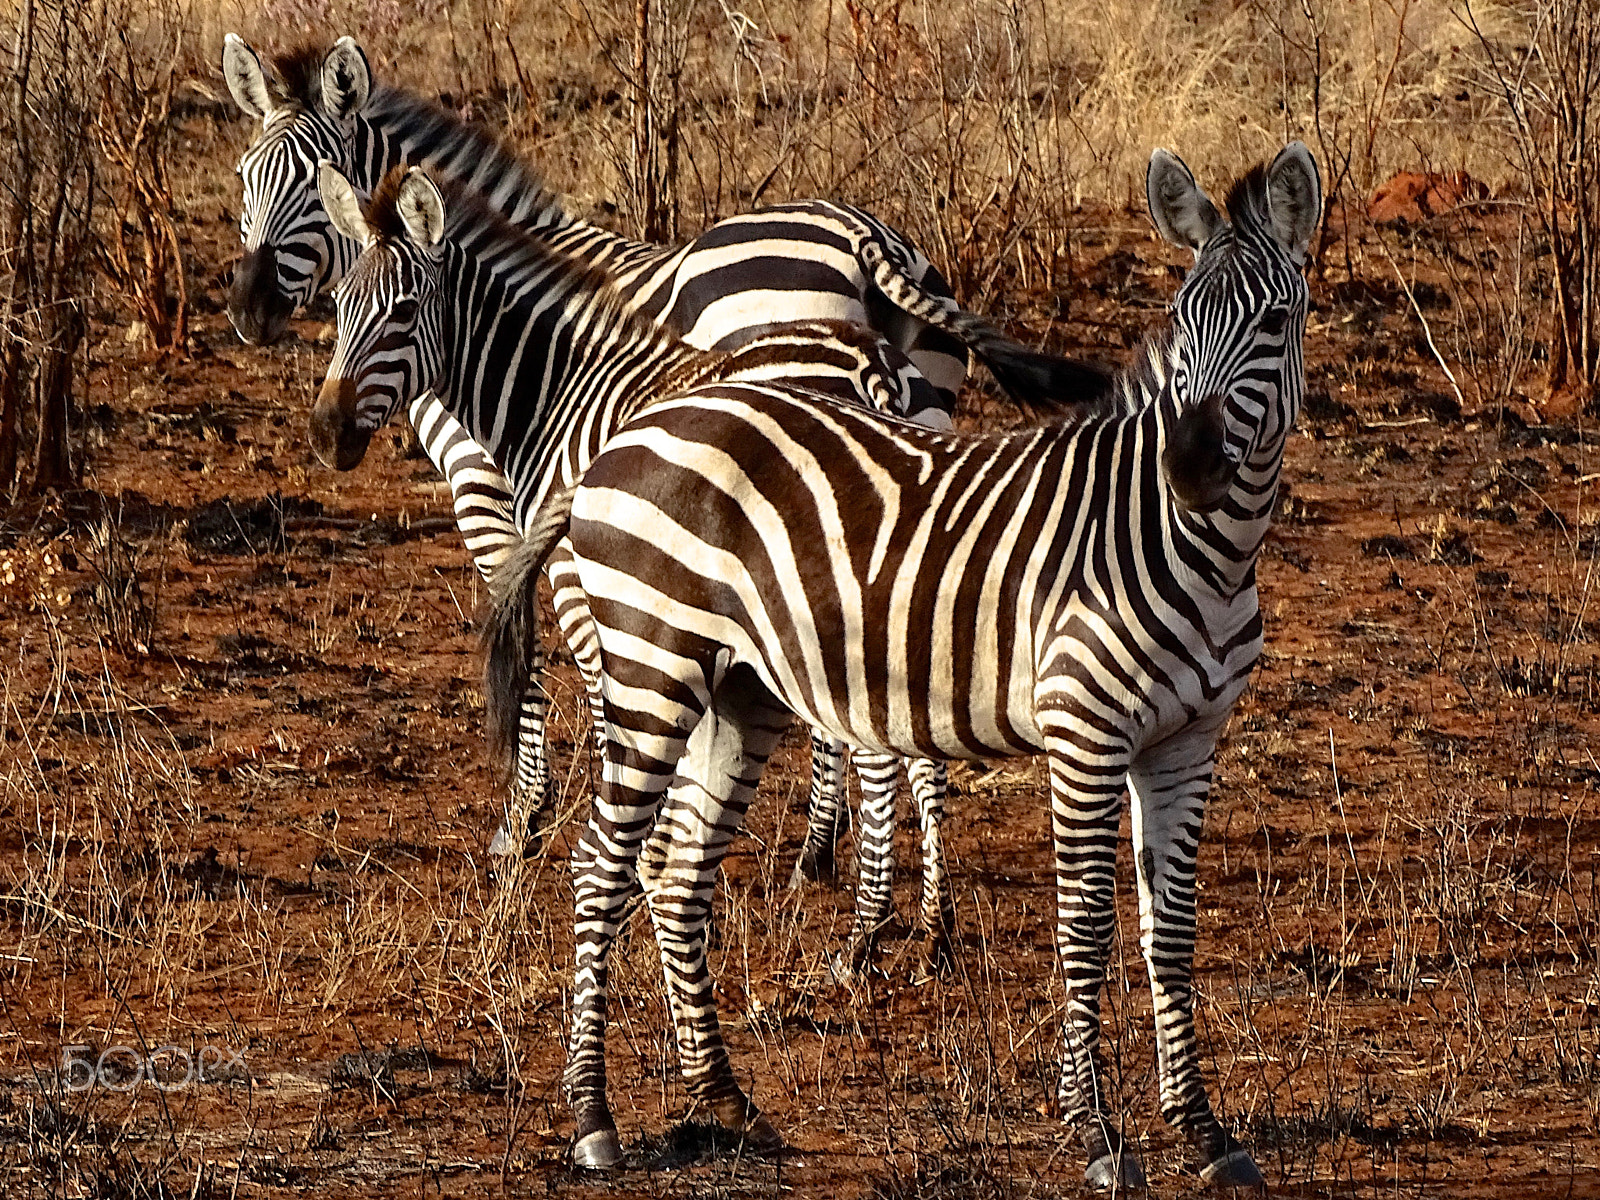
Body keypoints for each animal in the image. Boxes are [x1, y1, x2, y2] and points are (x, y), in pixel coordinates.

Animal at [219, 32, 1107, 908]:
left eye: (308, 183)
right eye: (246, 177)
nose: (248, 310)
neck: (549, 372)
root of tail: (869, 240)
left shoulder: (503, 503)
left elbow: (554, 658)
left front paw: (534, 822)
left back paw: (844, 879)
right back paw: (908, 898)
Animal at [476, 143, 1324, 1196]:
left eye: (1274, 322)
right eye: (1181, 321)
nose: (1193, 466)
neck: (1193, 547)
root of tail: (627, 436)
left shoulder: (1187, 741)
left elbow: (1169, 933)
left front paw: (1204, 1131)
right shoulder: (1085, 734)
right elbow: (1086, 927)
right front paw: (1095, 1132)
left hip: (735, 690)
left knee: (677, 872)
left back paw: (724, 1103)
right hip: (649, 665)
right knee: (602, 868)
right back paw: (593, 1120)